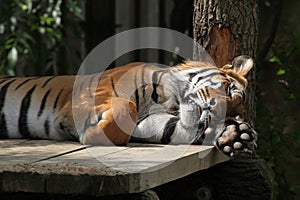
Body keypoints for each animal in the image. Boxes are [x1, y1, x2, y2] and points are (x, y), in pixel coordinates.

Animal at [0, 54, 258, 156]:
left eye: (234, 112)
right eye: (229, 89)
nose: (215, 112)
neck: (173, 101)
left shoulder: (152, 123)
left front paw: (235, 135)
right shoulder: (92, 96)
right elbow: (127, 106)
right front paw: (93, 133)